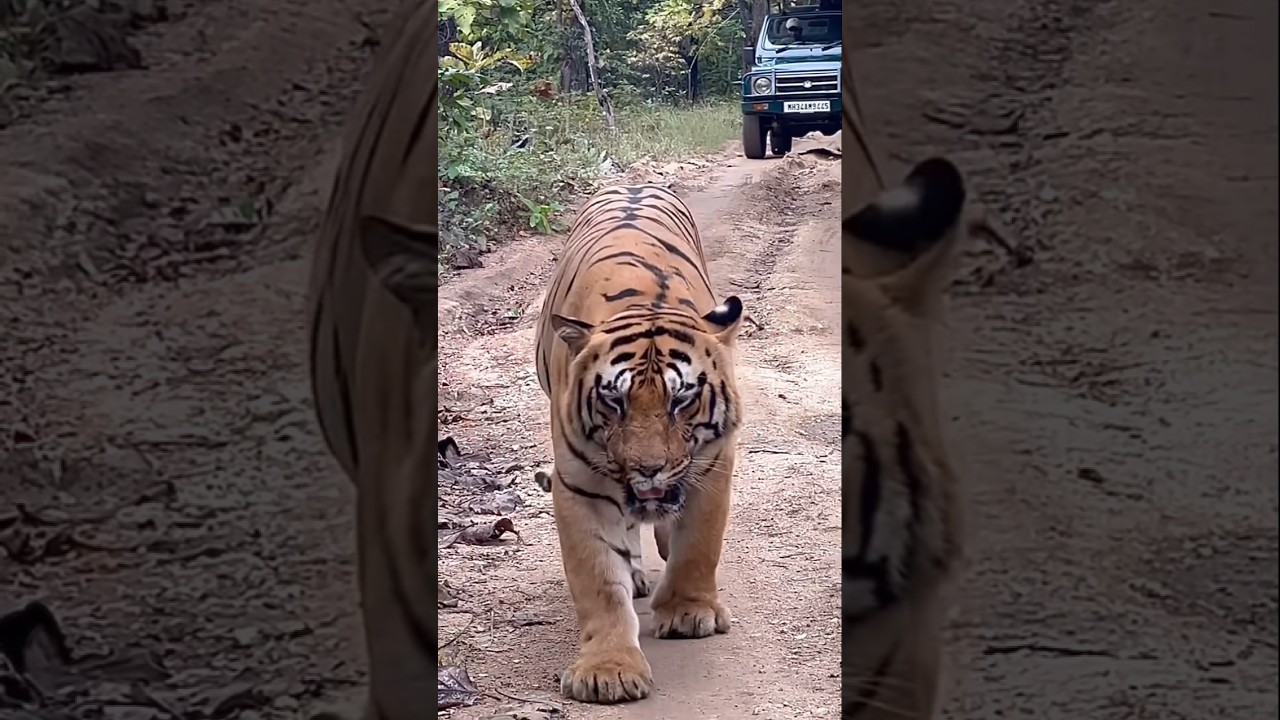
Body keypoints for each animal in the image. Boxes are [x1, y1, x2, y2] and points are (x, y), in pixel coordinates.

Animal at [532, 184, 745, 704]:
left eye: (681, 399)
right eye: (614, 400)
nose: (648, 468)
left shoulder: (713, 465)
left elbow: (699, 544)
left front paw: (690, 613)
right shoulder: (579, 482)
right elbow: (598, 581)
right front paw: (608, 670)